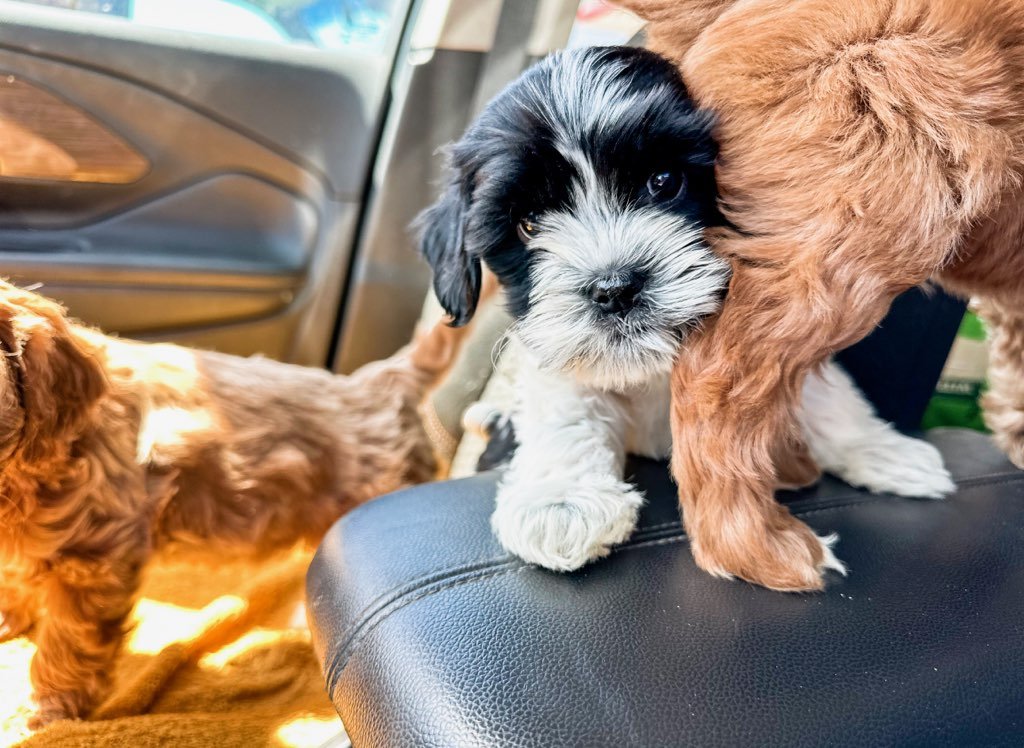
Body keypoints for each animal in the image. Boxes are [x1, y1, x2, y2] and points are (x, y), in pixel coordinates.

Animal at [413, 46, 950, 569]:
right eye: (528, 224)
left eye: (664, 181)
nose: (614, 287)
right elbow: (564, 411)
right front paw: (562, 501)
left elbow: (824, 395)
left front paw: (879, 449)